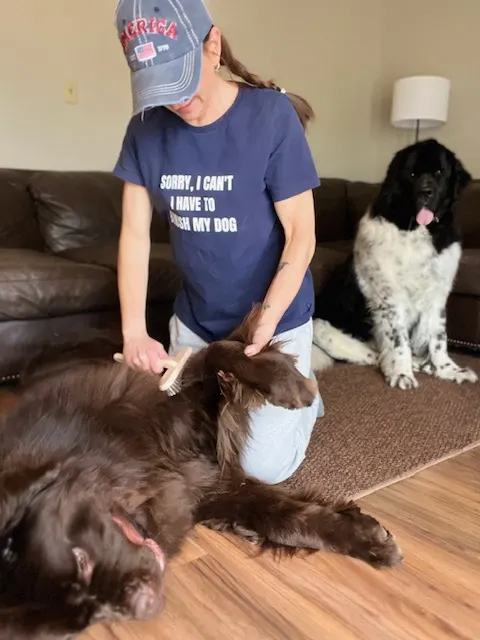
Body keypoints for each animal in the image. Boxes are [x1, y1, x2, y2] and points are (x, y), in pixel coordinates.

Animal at [0, 308, 402, 636]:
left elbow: (219, 352)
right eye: (81, 618)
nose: (147, 605)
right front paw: (365, 538)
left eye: (80, 559)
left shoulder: (181, 405)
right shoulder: (203, 489)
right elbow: (280, 518)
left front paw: (288, 385)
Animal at [312, 140, 476, 390]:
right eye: (411, 174)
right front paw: (401, 373)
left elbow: (438, 338)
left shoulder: (437, 294)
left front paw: (448, 370)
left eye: (439, 173)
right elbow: (399, 341)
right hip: (322, 328)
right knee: (376, 355)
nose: (425, 192)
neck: (417, 229)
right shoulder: (389, 298)